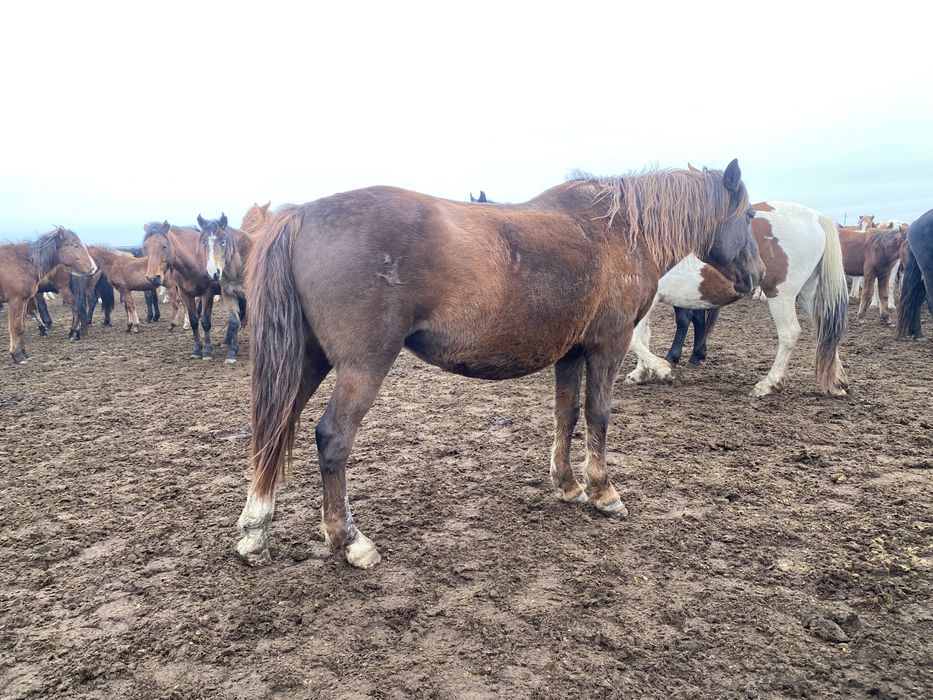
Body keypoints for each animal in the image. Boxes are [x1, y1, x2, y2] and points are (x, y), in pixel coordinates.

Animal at [0, 227, 98, 363]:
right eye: (75, 245)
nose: (93, 268)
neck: (20, 262)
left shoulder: (22, 300)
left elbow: (21, 325)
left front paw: (19, 354)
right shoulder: (18, 301)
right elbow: (18, 326)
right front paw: (19, 354)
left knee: (76, 308)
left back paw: (74, 332)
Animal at [142, 221, 219, 358]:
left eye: (164, 246)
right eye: (145, 247)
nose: (152, 278)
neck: (196, 259)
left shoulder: (207, 294)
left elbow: (205, 322)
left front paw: (207, 351)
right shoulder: (186, 295)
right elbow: (194, 321)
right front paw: (197, 350)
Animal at [198, 202, 273, 363]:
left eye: (223, 241)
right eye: (203, 242)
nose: (213, 272)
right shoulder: (229, 294)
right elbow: (234, 321)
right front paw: (232, 353)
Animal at [234, 160, 765, 569]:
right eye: (747, 215)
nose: (759, 275)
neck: (615, 231)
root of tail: (301, 215)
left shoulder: (571, 353)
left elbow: (567, 414)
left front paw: (568, 484)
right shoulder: (607, 347)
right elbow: (598, 415)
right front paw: (603, 491)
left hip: (308, 361)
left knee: (274, 430)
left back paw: (256, 530)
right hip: (362, 365)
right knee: (332, 438)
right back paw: (350, 541)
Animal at [628, 201, 849, 398]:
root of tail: (816, 217)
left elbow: (635, 337)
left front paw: (661, 368)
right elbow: (644, 335)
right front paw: (641, 372)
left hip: (781, 294)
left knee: (790, 334)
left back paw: (769, 384)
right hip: (807, 294)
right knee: (824, 331)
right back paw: (838, 383)